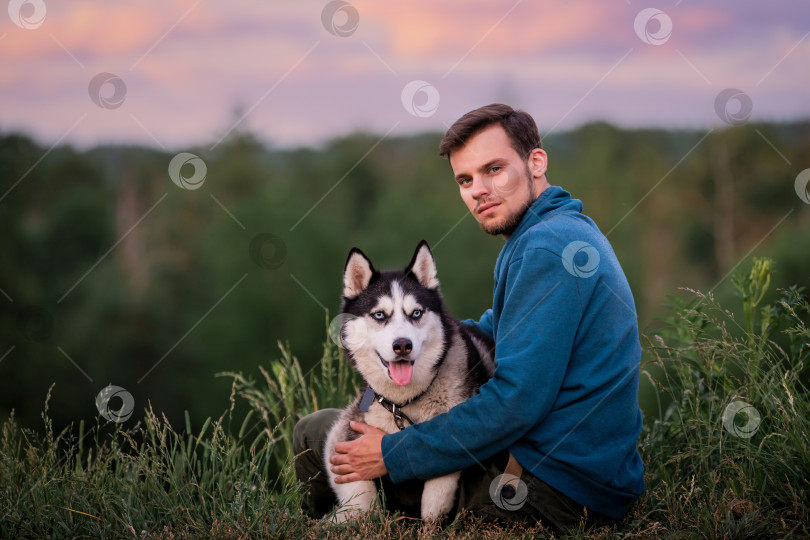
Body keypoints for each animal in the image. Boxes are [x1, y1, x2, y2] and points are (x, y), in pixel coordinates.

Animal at [322, 242, 492, 524]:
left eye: (416, 313)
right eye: (380, 315)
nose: (402, 345)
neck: (402, 403)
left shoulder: (448, 442)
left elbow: (433, 503)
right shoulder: (346, 431)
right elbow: (361, 503)